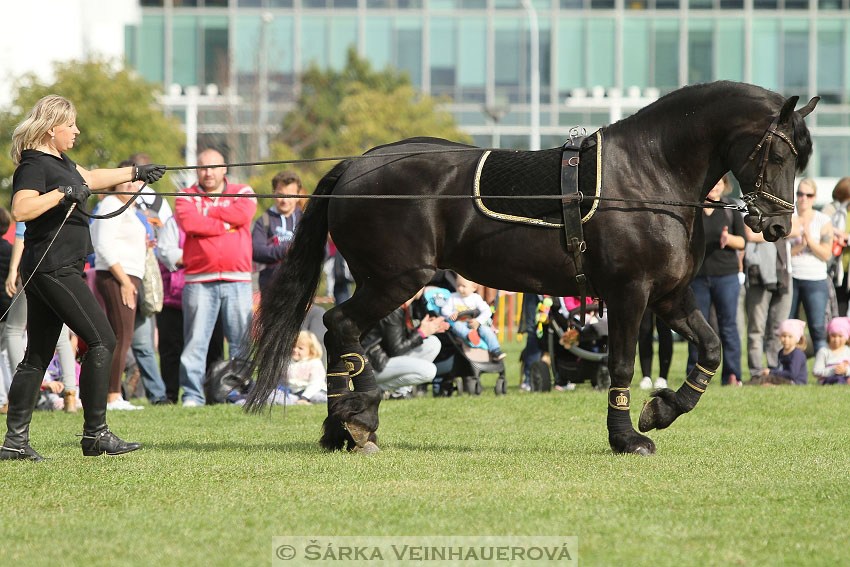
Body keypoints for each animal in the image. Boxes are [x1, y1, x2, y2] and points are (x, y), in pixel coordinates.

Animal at [245, 82, 816, 458]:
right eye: (780, 153)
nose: (777, 225)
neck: (649, 174)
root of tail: (356, 165)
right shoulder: (630, 294)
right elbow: (622, 364)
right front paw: (626, 437)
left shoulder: (670, 297)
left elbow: (713, 350)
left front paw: (661, 410)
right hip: (396, 280)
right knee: (340, 324)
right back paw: (354, 422)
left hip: (382, 281)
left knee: (339, 331)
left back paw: (342, 428)